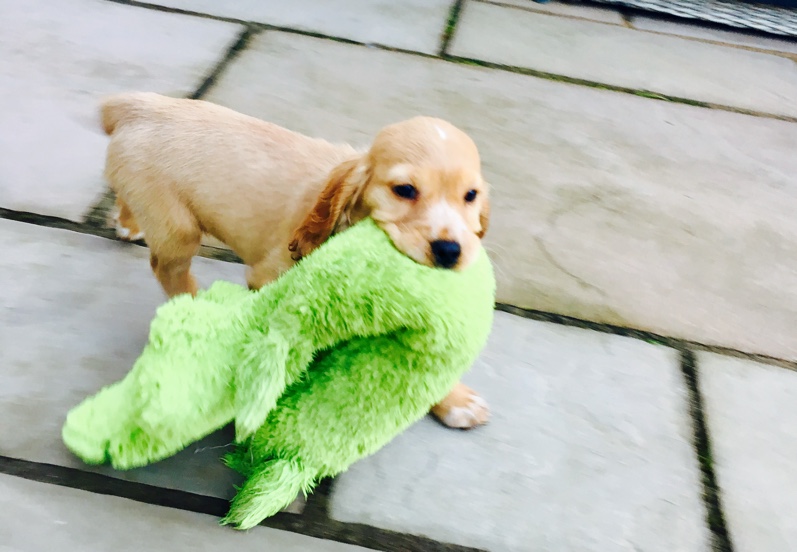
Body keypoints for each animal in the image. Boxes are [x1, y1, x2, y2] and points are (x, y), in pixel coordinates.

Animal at [101, 92, 486, 430]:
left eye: (471, 196)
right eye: (404, 190)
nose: (450, 251)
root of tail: (139, 105)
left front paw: (455, 400)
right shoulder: (270, 277)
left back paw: (127, 222)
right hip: (179, 229)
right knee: (169, 270)